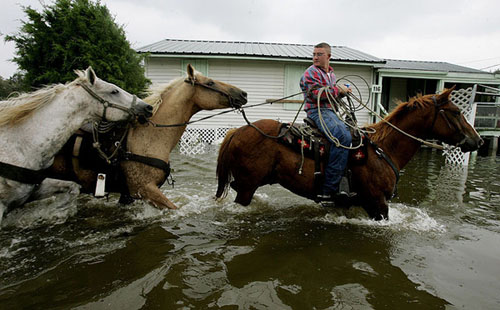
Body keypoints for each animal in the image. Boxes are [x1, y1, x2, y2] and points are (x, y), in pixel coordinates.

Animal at [48, 65, 248, 211]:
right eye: (210, 83)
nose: (243, 94)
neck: (148, 137)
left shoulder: (129, 195)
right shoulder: (144, 189)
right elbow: (173, 208)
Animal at [216, 87, 484, 220]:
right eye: (456, 112)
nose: (478, 140)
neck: (384, 149)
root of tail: (237, 131)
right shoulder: (378, 204)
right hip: (247, 187)